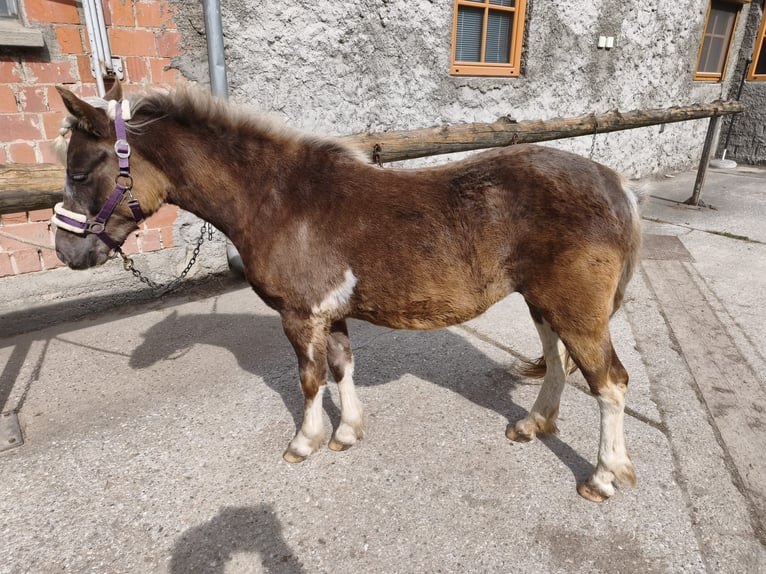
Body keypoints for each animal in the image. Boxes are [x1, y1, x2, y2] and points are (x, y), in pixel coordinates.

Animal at [52, 82, 643, 502]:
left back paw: (603, 478)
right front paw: (347, 433)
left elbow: (310, 379)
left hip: (576, 310)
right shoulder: (329, 313)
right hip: (544, 303)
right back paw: (532, 425)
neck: (279, 199)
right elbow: (341, 368)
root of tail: (616, 184)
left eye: (80, 172)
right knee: (557, 362)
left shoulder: (299, 314)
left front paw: (305, 442)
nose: (66, 251)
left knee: (610, 383)